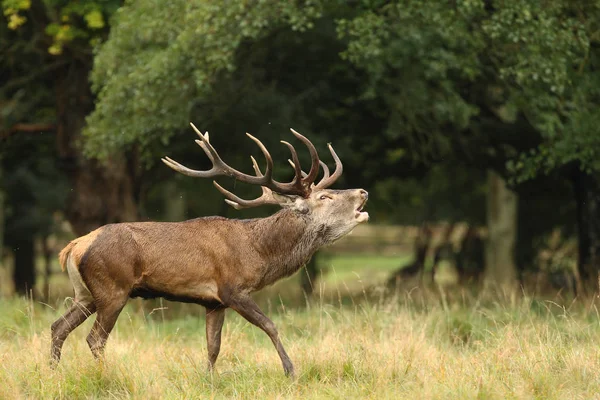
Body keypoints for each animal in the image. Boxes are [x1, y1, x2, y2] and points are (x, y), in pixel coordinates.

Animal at [51, 123, 368, 376]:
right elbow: (270, 326)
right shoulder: (233, 289)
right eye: (324, 197)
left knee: (58, 327)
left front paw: (209, 379)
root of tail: (73, 247)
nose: (362, 192)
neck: (259, 252)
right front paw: (291, 370)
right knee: (95, 339)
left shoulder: (214, 302)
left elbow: (213, 346)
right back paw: (104, 375)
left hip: (86, 294)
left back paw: (54, 373)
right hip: (113, 288)